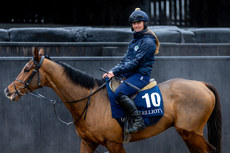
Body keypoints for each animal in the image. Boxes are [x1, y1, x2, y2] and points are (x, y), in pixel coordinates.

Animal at [4, 48, 222, 153]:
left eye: (26, 69)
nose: (8, 90)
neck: (90, 101)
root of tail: (202, 84)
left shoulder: (114, 143)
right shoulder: (87, 143)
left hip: (191, 133)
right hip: (189, 134)